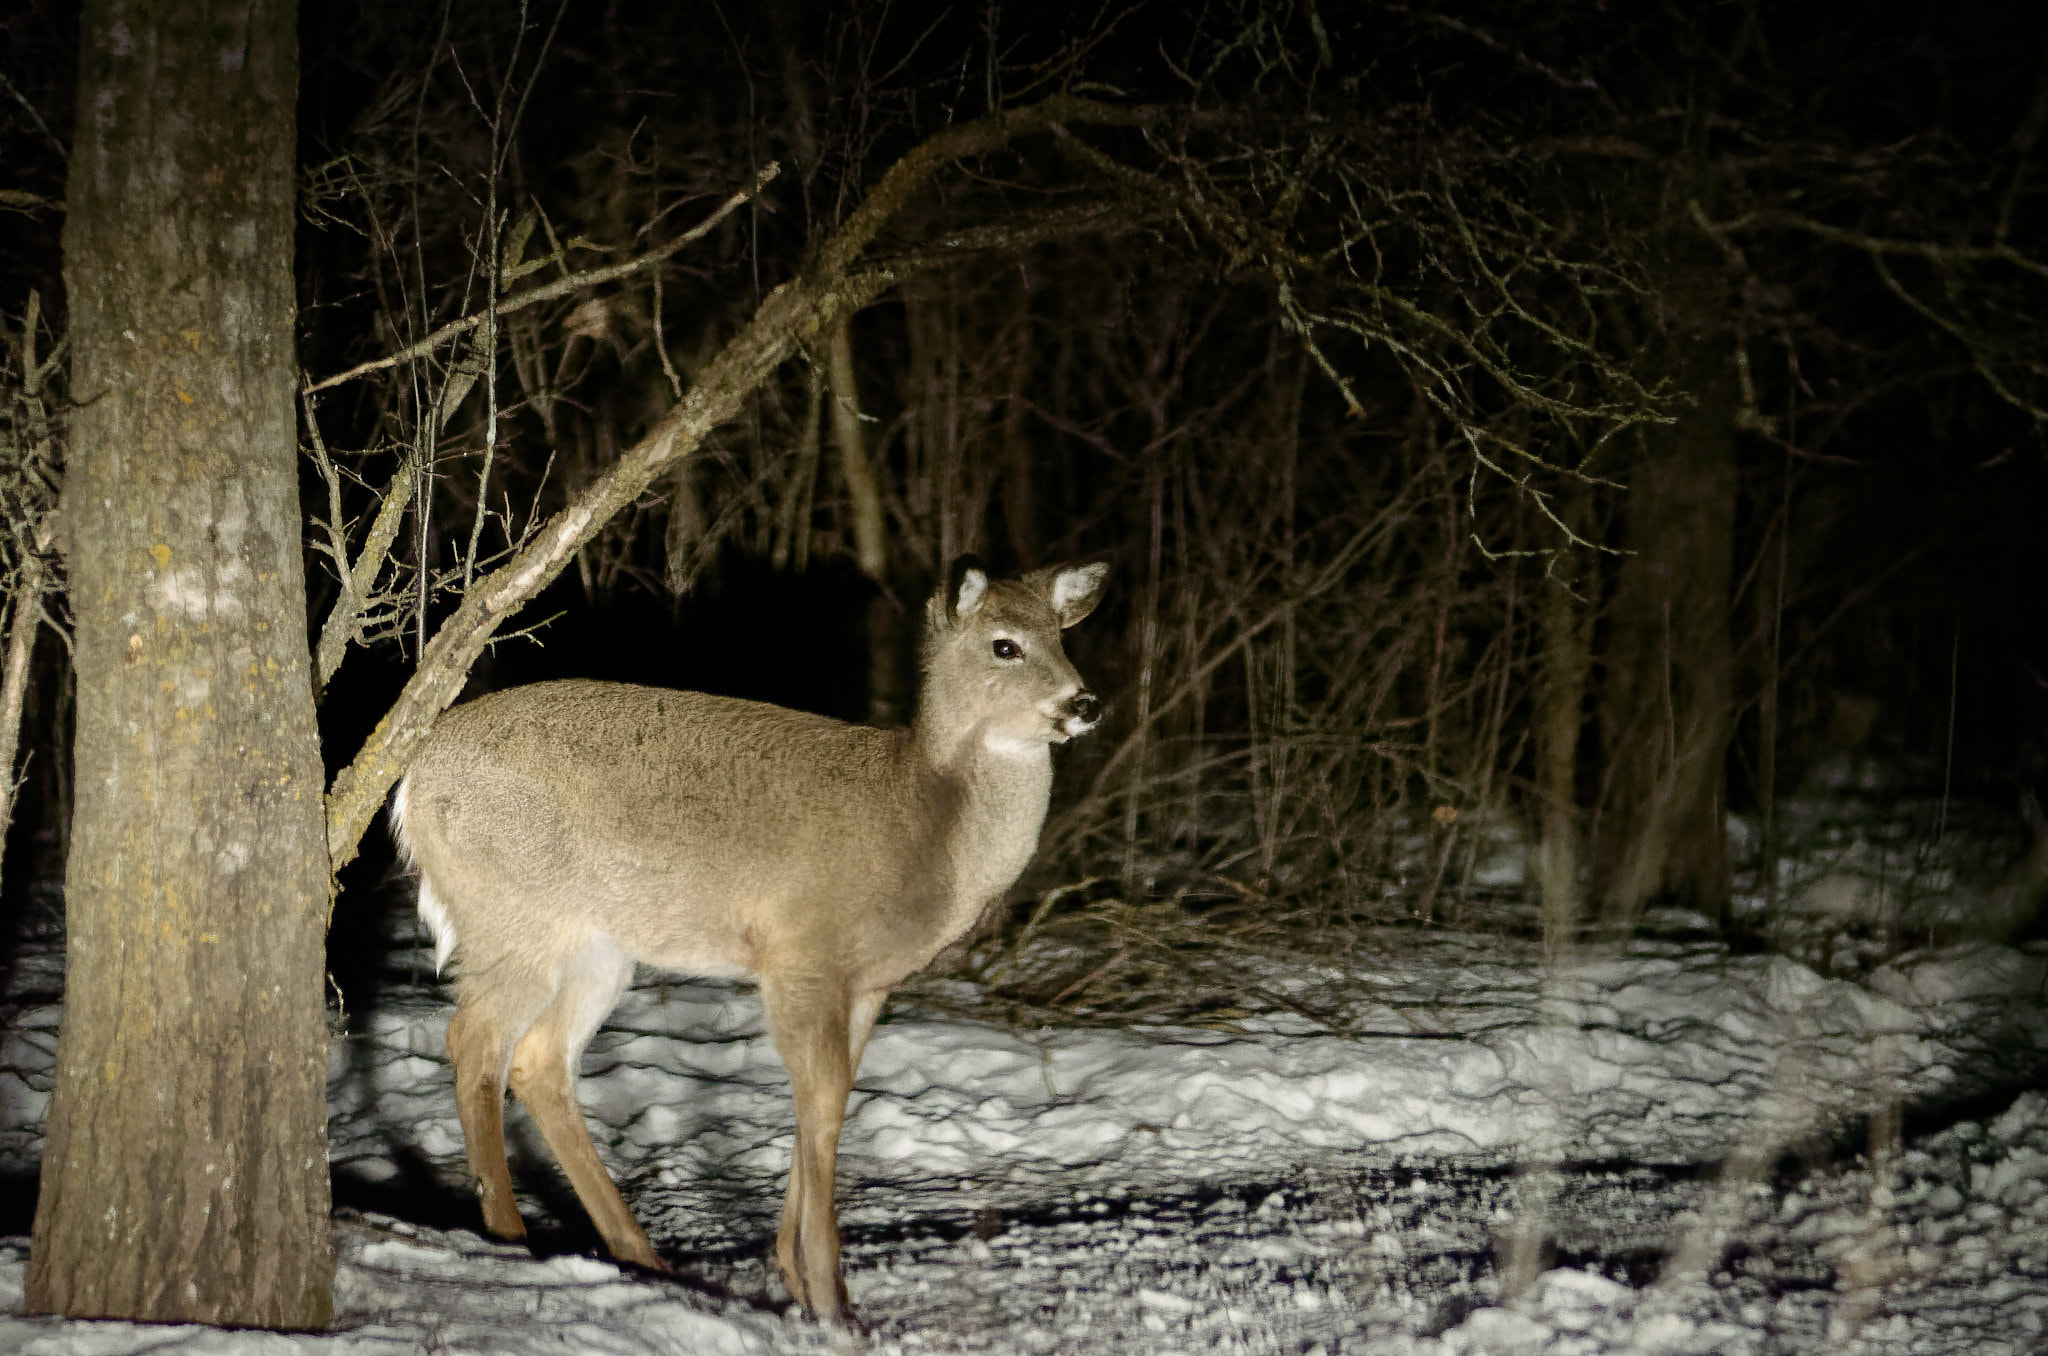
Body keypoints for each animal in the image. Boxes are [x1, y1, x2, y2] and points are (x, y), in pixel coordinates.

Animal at [391, 553, 1114, 1327]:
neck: (921, 818)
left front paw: (796, 1278)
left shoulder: (867, 983)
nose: (1085, 703)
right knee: (475, 1042)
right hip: (516, 915)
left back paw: (641, 1260)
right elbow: (820, 1102)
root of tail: (410, 783)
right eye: (1004, 645)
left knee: (537, 1061)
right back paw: (509, 1242)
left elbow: (831, 1099)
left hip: (596, 948)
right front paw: (833, 1302)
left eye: (1062, 635)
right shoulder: (799, 955)